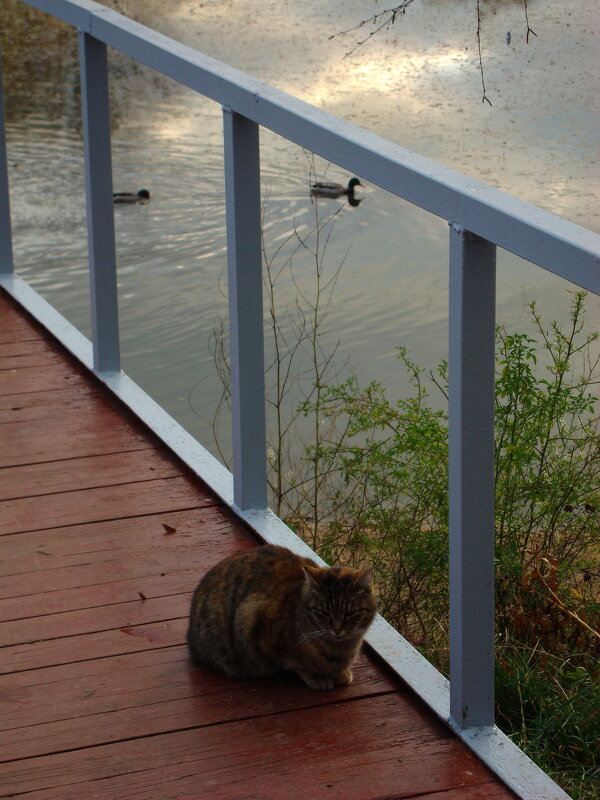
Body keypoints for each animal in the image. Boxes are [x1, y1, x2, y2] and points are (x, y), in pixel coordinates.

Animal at [185, 544, 378, 688]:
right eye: (323, 612)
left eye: (350, 613)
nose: (337, 629)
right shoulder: (254, 622)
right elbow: (299, 664)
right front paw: (318, 677)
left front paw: (340, 673)